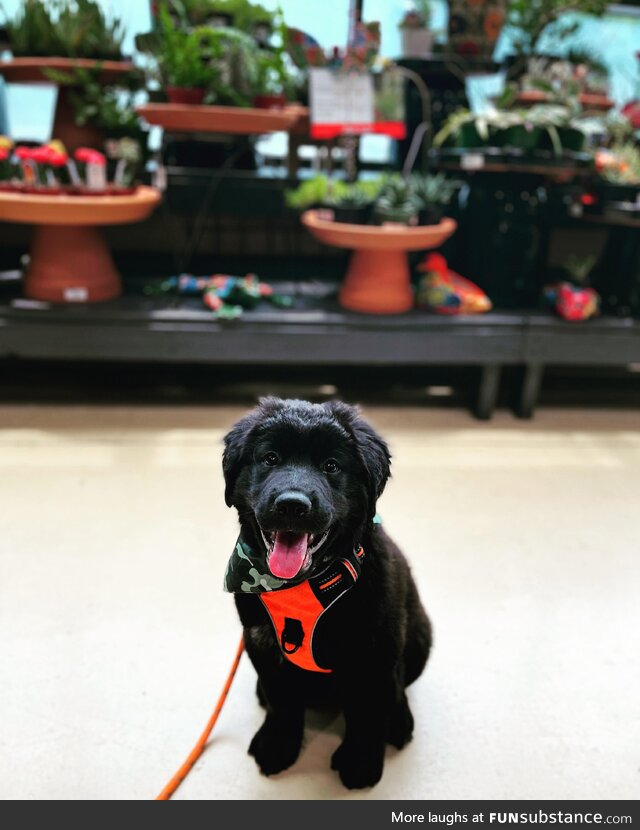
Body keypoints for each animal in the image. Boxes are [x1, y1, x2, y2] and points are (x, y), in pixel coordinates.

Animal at [222, 400, 432, 788]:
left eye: (331, 466)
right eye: (270, 458)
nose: (292, 504)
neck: (303, 585)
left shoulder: (374, 650)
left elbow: (367, 711)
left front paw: (361, 763)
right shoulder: (260, 641)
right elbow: (281, 701)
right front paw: (278, 745)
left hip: (420, 633)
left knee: (399, 686)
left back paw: (399, 722)